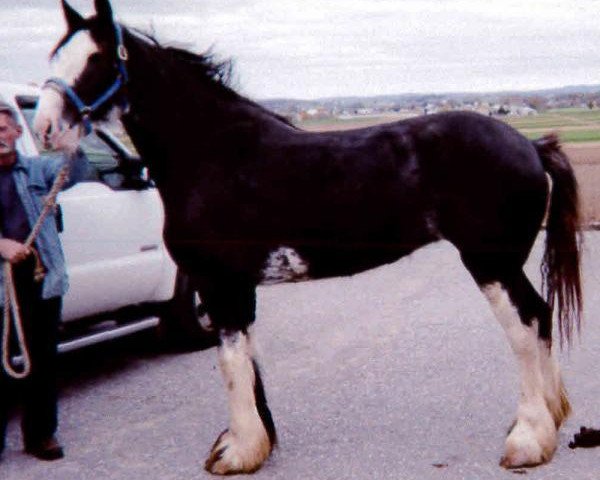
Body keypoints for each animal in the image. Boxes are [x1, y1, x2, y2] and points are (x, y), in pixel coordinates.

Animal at [32, 0, 580, 472]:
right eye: (56, 55)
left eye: (97, 58)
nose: (44, 129)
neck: (214, 154)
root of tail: (531, 145)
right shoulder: (237, 287)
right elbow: (248, 361)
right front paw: (253, 443)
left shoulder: (218, 283)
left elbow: (230, 363)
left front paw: (237, 453)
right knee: (541, 317)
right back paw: (550, 419)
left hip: (491, 263)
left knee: (526, 327)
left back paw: (528, 439)